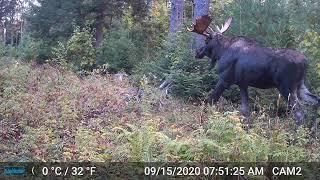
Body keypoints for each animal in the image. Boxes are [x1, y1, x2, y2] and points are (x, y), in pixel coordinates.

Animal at [188, 15, 320, 125]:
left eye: (206, 41)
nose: (197, 52)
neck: (221, 52)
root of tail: (305, 62)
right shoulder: (242, 83)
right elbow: (245, 110)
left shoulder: (225, 79)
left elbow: (211, 99)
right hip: (300, 86)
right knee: (316, 101)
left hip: (286, 87)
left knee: (300, 113)